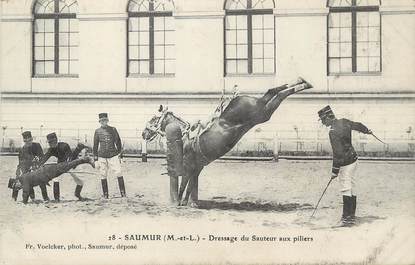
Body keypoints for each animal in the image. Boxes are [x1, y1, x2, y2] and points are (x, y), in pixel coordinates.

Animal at [143, 77, 312, 205]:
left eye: (154, 119)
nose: (144, 133)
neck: (185, 137)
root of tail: (237, 97)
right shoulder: (197, 168)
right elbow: (190, 186)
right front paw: (188, 203)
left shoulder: (188, 166)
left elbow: (184, 185)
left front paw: (179, 202)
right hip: (263, 113)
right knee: (275, 94)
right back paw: (303, 83)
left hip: (260, 111)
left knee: (271, 92)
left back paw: (303, 83)